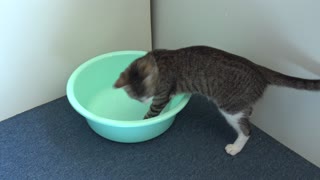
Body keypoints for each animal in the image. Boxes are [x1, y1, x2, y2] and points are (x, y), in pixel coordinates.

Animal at [114, 45, 318, 155]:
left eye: (147, 94)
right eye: (136, 97)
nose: (144, 101)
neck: (156, 61)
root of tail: (258, 69)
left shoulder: (161, 95)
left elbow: (152, 112)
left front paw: (143, 121)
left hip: (230, 107)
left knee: (247, 129)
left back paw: (236, 147)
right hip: (240, 105)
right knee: (248, 113)